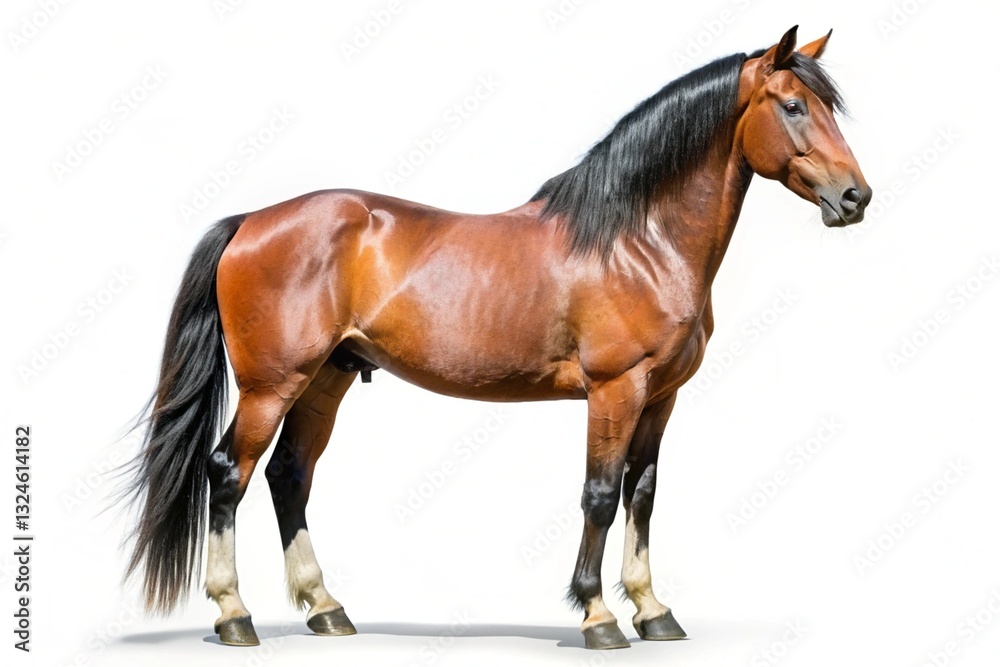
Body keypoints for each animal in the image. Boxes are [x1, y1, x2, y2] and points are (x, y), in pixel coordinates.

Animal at [120, 26, 870, 650]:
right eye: (793, 106)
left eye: (827, 106)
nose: (855, 197)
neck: (637, 241)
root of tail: (250, 221)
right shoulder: (615, 390)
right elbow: (600, 493)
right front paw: (598, 615)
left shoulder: (661, 397)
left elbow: (643, 494)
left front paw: (654, 610)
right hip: (271, 386)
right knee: (229, 473)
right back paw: (234, 614)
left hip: (326, 379)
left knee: (288, 475)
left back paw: (327, 608)